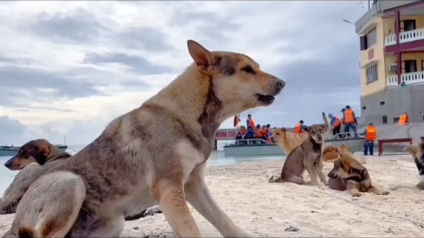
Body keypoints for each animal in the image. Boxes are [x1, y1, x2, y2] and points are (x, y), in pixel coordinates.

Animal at [4, 40, 284, 237]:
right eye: (247, 69)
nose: (282, 82)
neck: (189, 115)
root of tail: (13, 224)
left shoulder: (194, 185)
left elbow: (224, 220)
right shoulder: (170, 188)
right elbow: (192, 229)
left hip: (112, 224)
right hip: (72, 185)